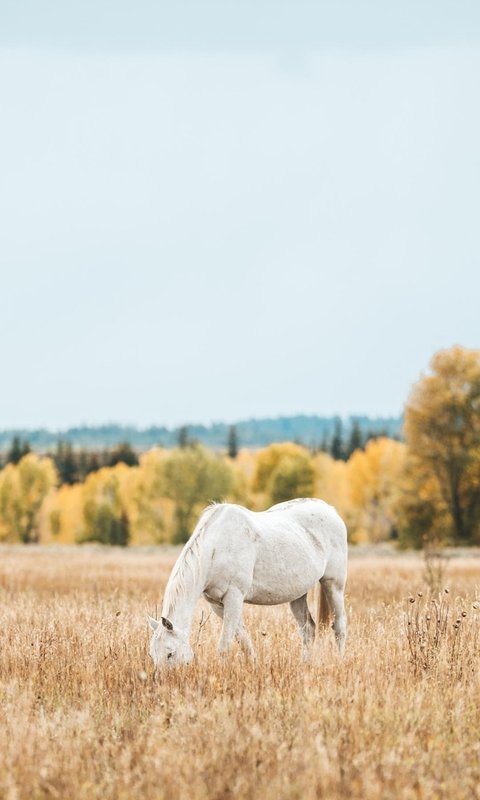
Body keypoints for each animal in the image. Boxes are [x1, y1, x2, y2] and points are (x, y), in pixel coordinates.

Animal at [148, 496, 346, 664]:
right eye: (152, 654)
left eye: (170, 653)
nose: (162, 681)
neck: (215, 549)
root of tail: (331, 510)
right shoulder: (217, 603)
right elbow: (242, 639)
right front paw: (253, 666)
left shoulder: (234, 597)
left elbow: (225, 645)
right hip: (298, 594)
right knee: (308, 629)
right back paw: (305, 665)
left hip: (333, 585)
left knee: (339, 627)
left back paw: (340, 662)